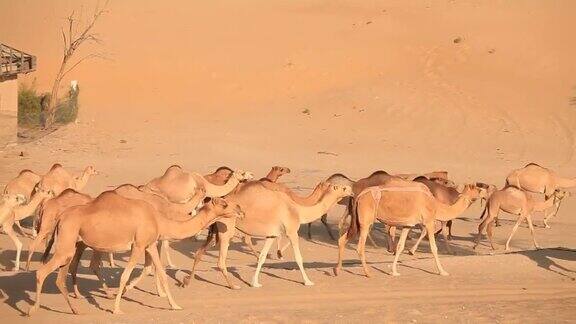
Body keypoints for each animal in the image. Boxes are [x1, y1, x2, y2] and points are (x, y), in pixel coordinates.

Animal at [28, 191, 243, 316]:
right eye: (224, 204)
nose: (240, 210)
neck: (159, 219)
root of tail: (61, 216)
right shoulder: (138, 245)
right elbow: (124, 275)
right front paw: (117, 308)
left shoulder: (150, 244)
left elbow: (162, 274)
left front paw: (175, 305)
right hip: (68, 240)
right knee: (42, 271)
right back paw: (34, 310)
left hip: (73, 242)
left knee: (62, 274)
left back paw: (75, 309)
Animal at [187, 182, 354, 288]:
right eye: (341, 187)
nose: (351, 190)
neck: (298, 210)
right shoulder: (292, 231)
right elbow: (299, 258)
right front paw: (308, 281)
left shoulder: (271, 235)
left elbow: (262, 257)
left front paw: (254, 283)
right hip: (226, 229)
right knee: (220, 261)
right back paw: (232, 286)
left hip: (214, 230)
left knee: (199, 252)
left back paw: (188, 281)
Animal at [332, 178, 476, 278]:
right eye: (479, 189)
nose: (480, 194)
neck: (435, 205)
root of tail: (359, 196)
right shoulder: (429, 222)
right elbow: (434, 248)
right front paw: (443, 271)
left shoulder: (408, 225)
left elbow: (400, 247)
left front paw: (394, 272)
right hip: (365, 221)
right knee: (360, 247)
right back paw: (368, 273)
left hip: (357, 221)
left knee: (343, 239)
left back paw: (337, 270)